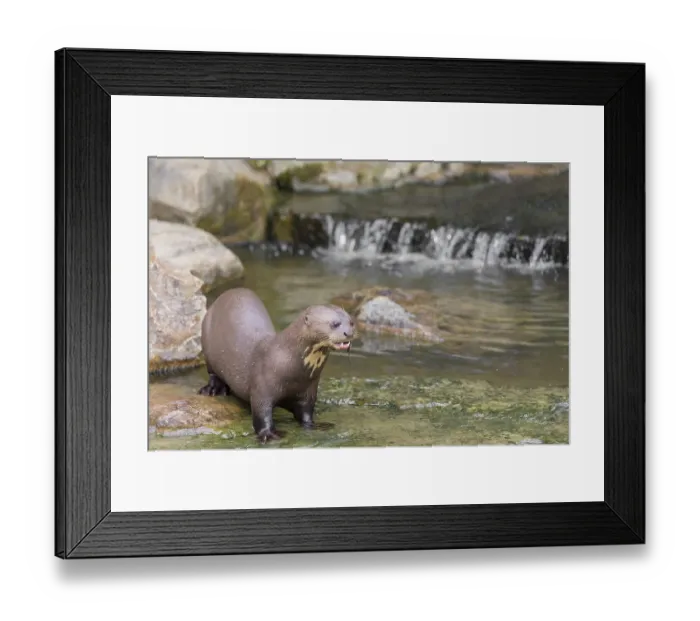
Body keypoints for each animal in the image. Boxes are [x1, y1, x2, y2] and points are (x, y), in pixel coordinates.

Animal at [198, 287, 355, 443]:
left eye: (351, 322)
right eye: (335, 323)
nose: (349, 333)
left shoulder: (308, 391)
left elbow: (306, 413)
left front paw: (314, 425)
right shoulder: (261, 388)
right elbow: (261, 414)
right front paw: (268, 434)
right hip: (206, 341)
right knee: (212, 372)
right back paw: (213, 389)